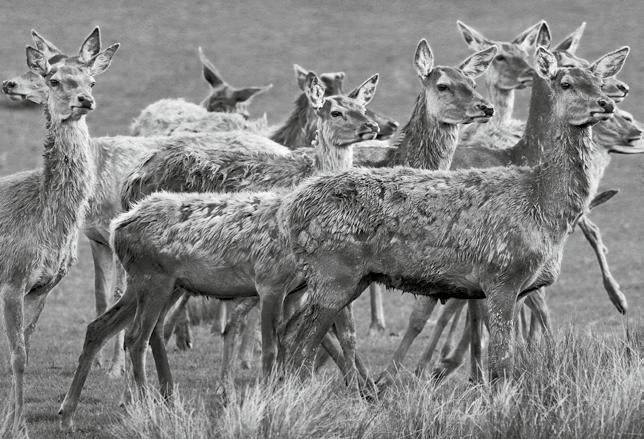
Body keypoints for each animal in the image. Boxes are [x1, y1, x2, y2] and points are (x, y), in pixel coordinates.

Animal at [0, 28, 118, 439]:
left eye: (91, 81)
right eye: (52, 80)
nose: (85, 100)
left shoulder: (43, 286)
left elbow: (23, 349)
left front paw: (8, 417)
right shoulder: (12, 279)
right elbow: (18, 355)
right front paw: (18, 425)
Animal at [56, 71, 382, 430]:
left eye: (362, 106)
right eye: (336, 111)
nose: (373, 126)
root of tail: (132, 181)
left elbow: (323, 331)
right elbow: (330, 330)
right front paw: (359, 392)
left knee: (132, 327)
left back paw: (149, 398)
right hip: (154, 275)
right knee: (141, 329)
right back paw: (138, 399)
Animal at [278, 43, 628, 388]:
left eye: (598, 81)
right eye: (566, 83)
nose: (607, 103)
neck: (543, 208)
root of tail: (291, 208)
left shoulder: (520, 287)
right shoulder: (502, 275)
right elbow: (501, 365)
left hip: (349, 277)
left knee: (294, 335)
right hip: (332, 272)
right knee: (299, 343)